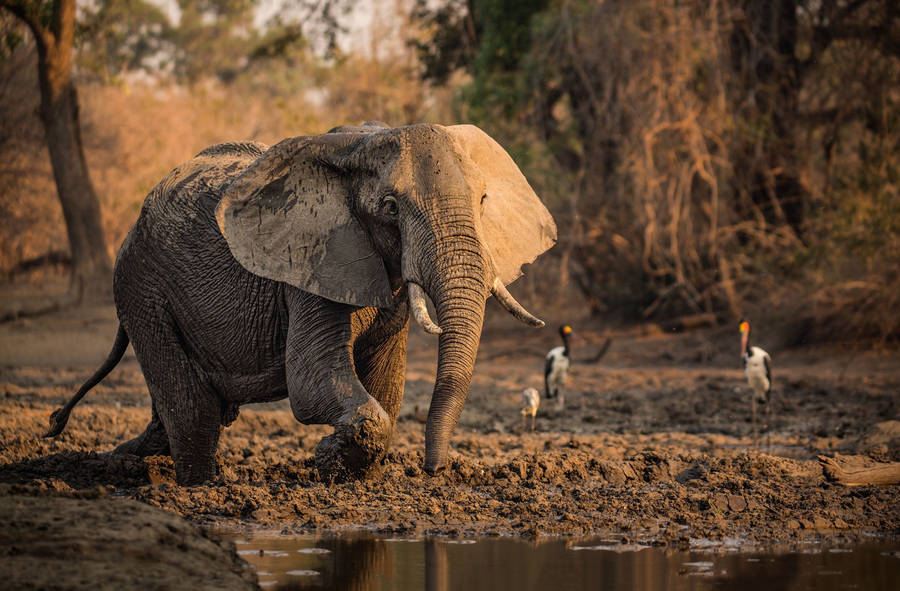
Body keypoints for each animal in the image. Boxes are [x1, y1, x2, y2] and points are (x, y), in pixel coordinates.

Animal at [49, 121, 560, 486]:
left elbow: (385, 385)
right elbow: (312, 381)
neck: (363, 142)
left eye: (484, 200)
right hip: (141, 289)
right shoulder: (310, 264)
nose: (434, 472)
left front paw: (353, 473)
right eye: (391, 208)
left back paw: (117, 460)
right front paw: (328, 458)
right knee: (193, 412)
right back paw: (198, 488)